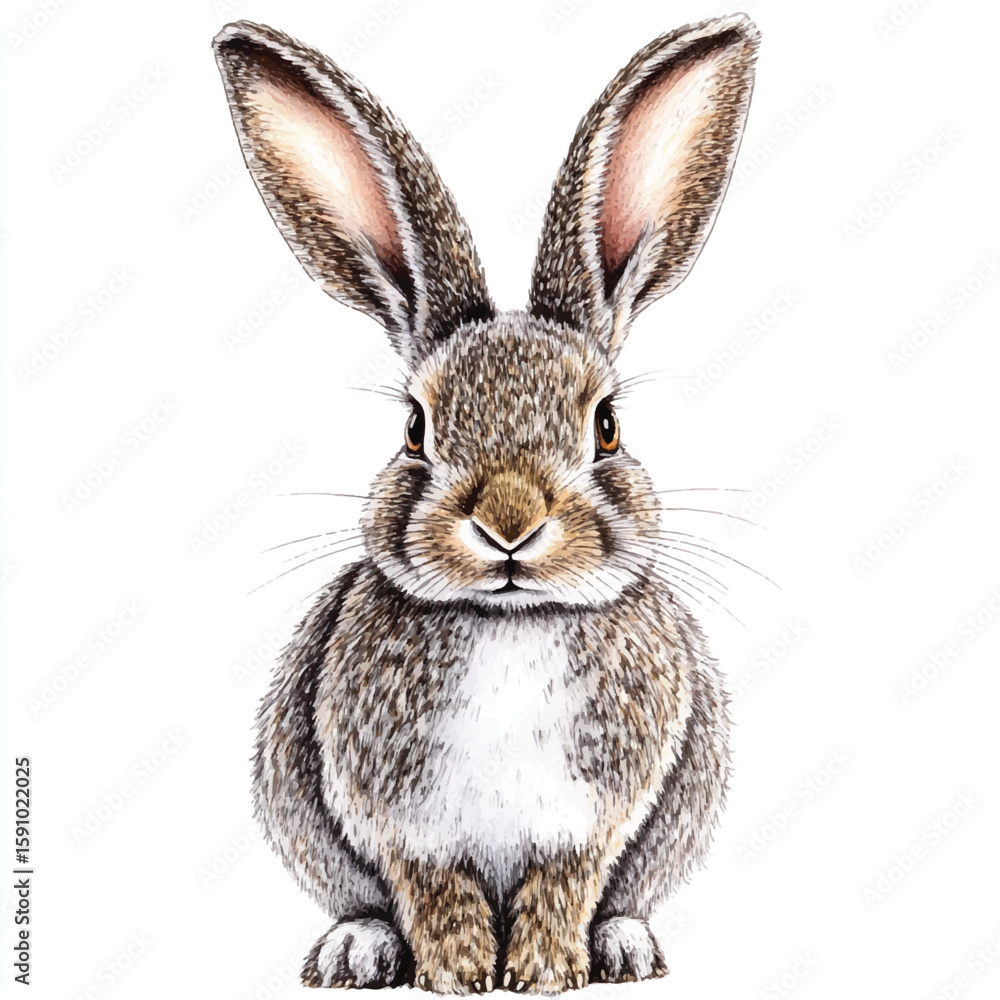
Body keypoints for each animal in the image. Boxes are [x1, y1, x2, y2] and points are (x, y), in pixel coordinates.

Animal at [214, 12, 759, 995]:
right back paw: (356, 950)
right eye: (414, 428)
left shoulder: (589, 823)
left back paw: (624, 947)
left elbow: (562, 887)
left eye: (607, 425)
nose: (509, 523)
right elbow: (437, 897)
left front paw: (545, 972)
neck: (511, 626)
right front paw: (460, 976)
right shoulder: (404, 829)